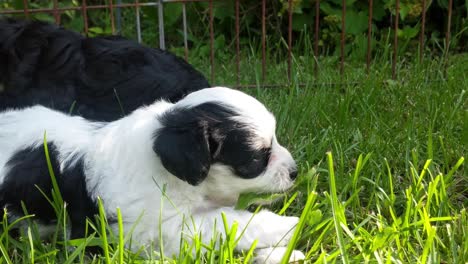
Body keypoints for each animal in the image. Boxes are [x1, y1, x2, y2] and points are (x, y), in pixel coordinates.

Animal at [0, 87, 306, 262]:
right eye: (258, 156)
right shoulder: (154, 230)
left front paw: (279, 254)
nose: (295, 172)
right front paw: (286, 226)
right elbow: (222, 223)